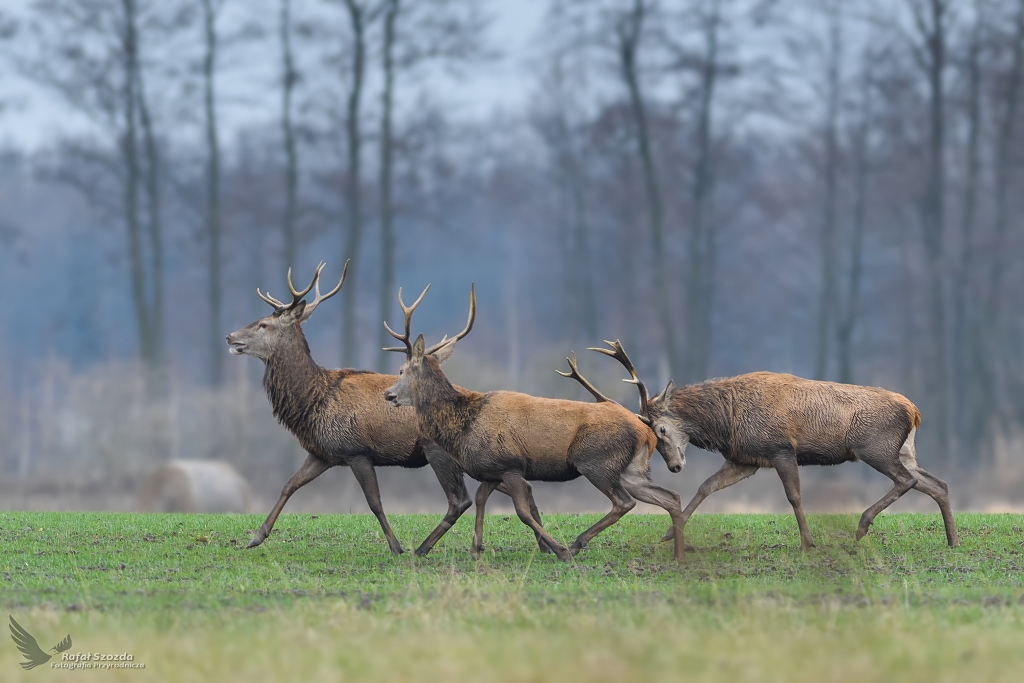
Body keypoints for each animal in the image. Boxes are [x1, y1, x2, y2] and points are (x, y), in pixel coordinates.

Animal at [223, 262, 544, 557]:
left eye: (264, 324)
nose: (229, 337)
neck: (313, 400)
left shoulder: (356, 450)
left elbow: (374, 502)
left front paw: (396, 546)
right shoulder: (323, 453)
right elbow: (289, 485)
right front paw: (256, 537)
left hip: (438, 451)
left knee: (460, 500)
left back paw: (423, 548)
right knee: (521, 487)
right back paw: (543, 544)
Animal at [380, 286, 684, 561]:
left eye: (401, 370)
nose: (388, 394)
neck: (465, 426)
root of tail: (646, 431)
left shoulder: (510, 464)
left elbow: (522, 512)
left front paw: (558, 550)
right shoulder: (491, 469)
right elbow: (480, 499)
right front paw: (476, 549)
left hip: (595, 461)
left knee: (624, 502)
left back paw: (577, 543)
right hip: (632, 469)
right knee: (670, 497)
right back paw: (679, 555)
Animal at [585, 339, 958, 552]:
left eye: (661, 428)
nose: (676, 466)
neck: (727, 421)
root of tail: (914, 411)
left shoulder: (779, 448)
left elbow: (794, 496)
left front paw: (808, 542)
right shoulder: (747, 458)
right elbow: (706, 487)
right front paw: (666, 535)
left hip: (875, 447)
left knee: (908, 480)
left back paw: (863, 525)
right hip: (903, 450)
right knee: (936, 483)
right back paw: (952, 539)